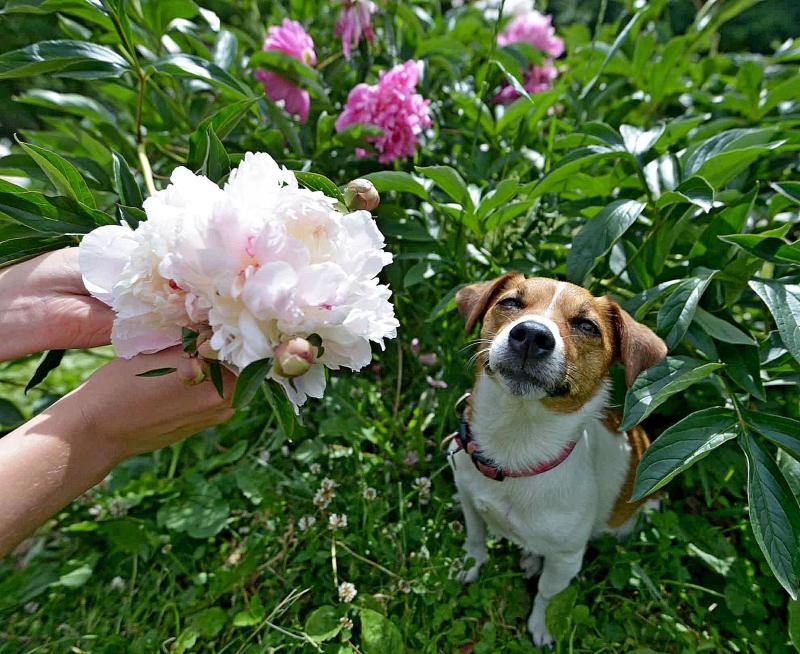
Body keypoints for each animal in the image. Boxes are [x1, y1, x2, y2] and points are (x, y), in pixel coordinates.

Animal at [446, 274, 664, 648]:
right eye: (510, 302)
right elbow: (475, 541)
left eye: (587, 325)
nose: (532, 334)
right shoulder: (469, 501)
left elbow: (549, 594)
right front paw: (469, 566)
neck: (515, 446)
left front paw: (541, 625)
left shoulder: (566, 559)